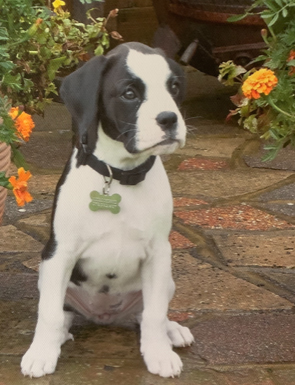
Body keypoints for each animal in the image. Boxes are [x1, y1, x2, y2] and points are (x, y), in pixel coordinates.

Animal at [22, 42, 195, 378]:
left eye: (173, 87)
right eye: (129, 93)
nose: (169, 119)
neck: (120, 175)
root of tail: (104, 317)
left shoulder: (159, 254)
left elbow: (154, 314)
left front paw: (159, 353)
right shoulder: (58, 253)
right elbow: (48, 313)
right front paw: (41, 353)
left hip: (165, 279)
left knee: (147, 313)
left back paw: (173, 331)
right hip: (48, 277)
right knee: (60, 313)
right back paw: (59, 336)